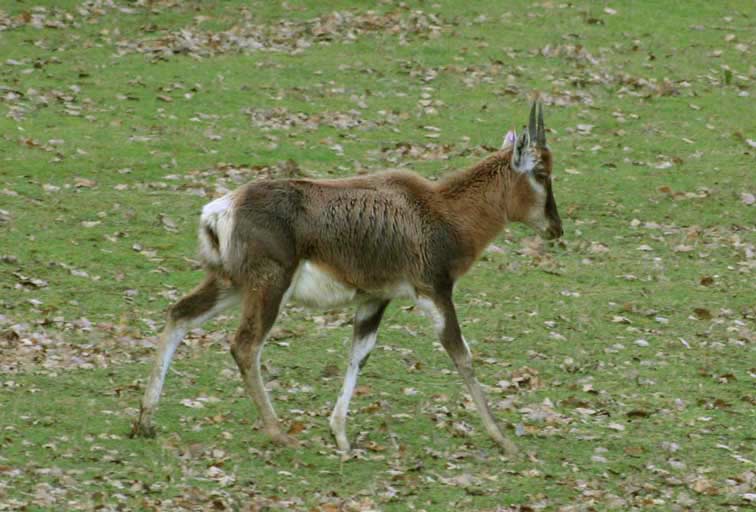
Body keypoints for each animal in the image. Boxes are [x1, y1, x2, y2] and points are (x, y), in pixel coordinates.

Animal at [131, 101, 560, 456]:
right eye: (541, 172)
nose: (556, 228)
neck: (436, 209)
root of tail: (222, 209)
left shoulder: (374, 298)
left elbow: (358, 355)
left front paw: (339, 435)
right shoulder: (434, 292)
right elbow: (462, 354)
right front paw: (504, 440)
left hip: (230, 285)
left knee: (179, 314)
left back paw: (145, 422)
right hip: (267, 288)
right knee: (245, 346)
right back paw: (279, 433)